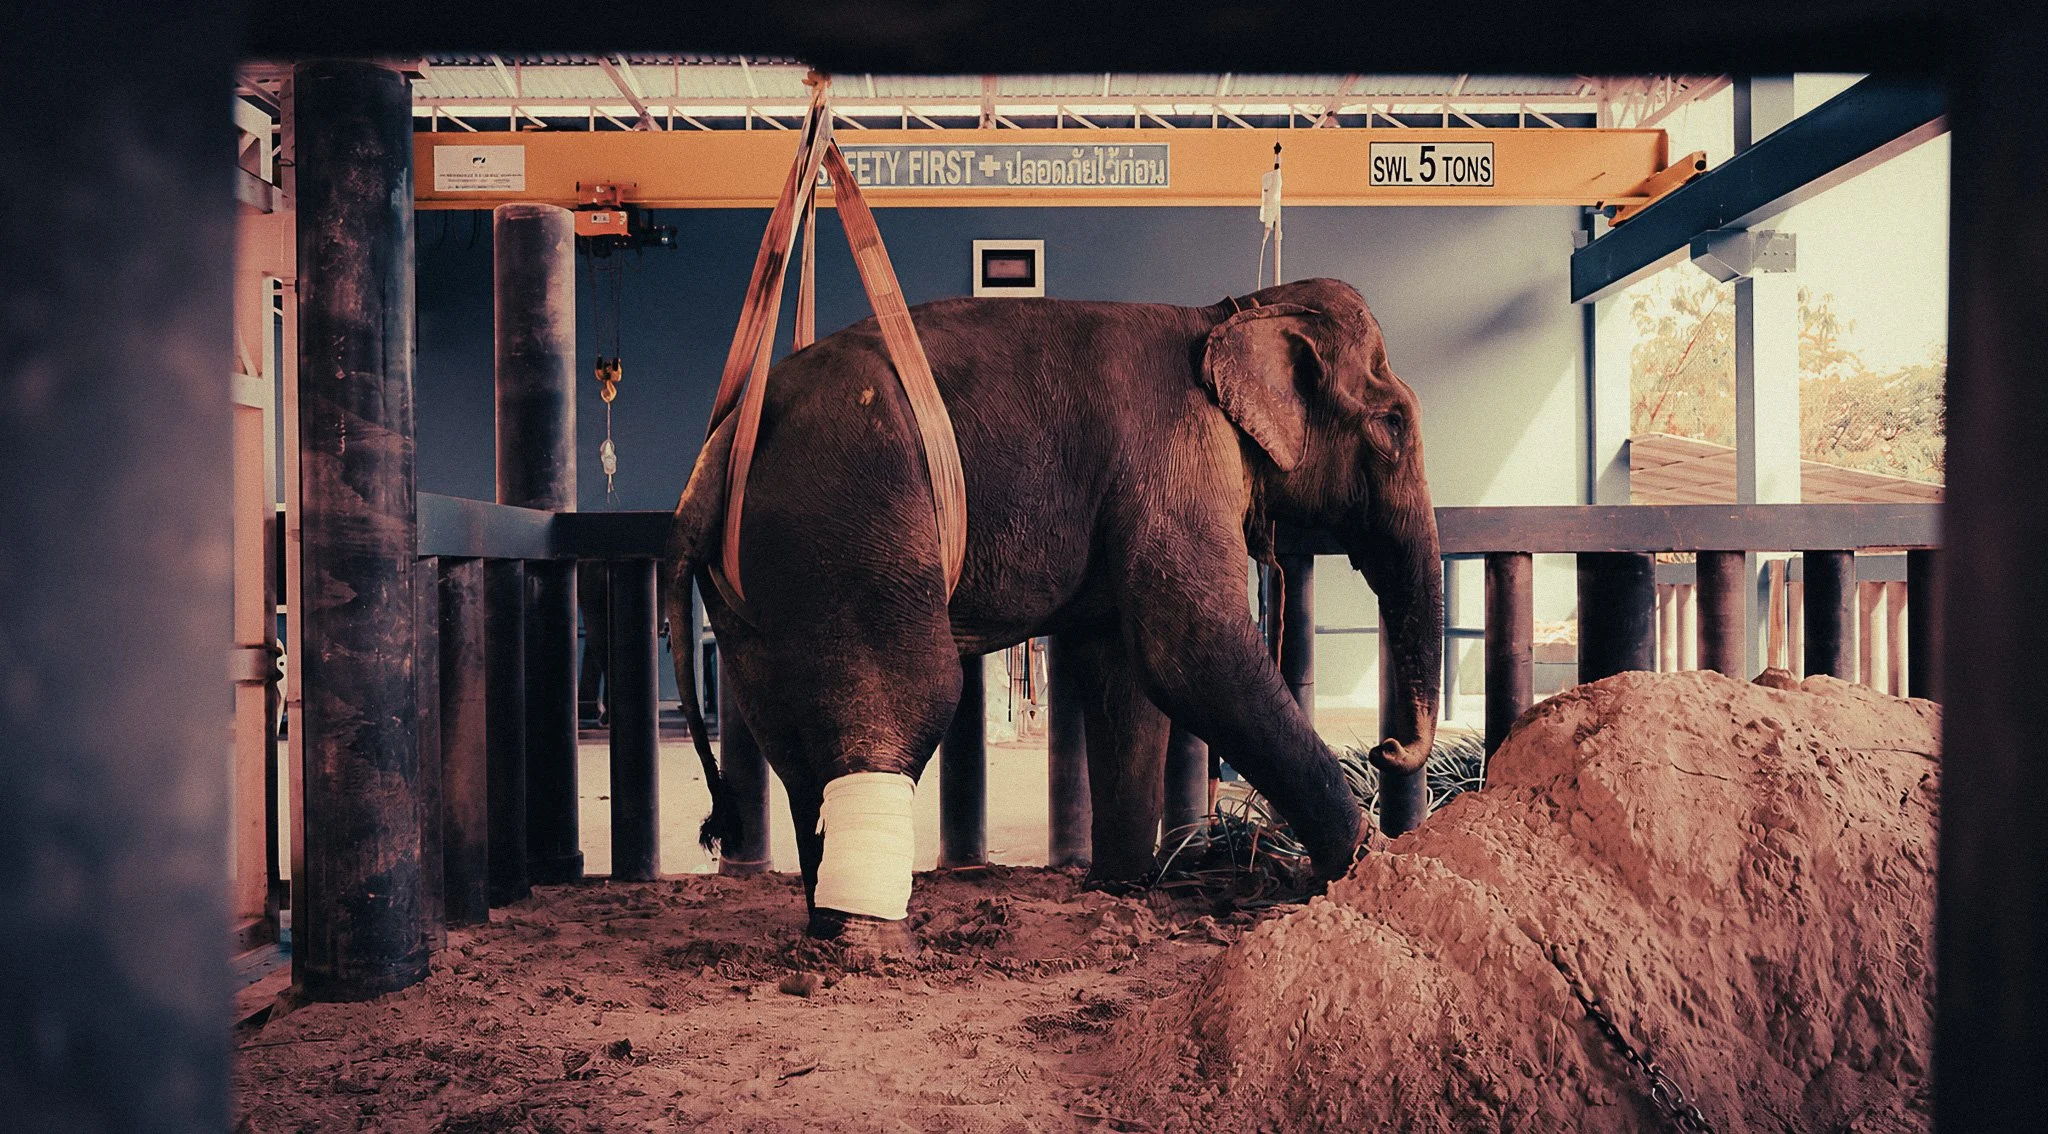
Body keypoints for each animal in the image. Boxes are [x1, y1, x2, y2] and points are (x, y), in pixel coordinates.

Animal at [665, 277, 1443, 948]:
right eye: (1392, 426)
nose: (1385, 749)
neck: (1233, 310)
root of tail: (710, 465)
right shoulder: (1180, 461)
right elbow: (1195, 653)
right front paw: (1369, 864)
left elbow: (1123, 673)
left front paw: (1122, 890)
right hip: (856, 524)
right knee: (910, 697)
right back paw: (870, 943)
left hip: (758, 586)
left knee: (790, 737)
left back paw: (830, 925)